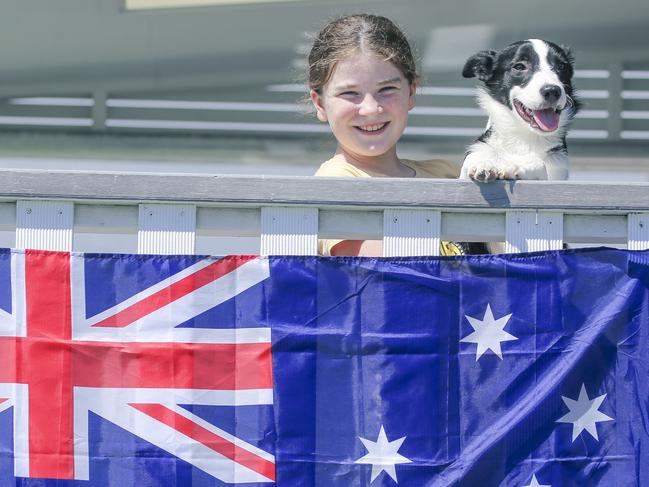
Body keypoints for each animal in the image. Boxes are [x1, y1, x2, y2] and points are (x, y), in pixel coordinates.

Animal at [458, 38, 580, 183]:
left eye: (561, 66)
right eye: (520, 67)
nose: (552, 91)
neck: (522, 137)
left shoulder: (557, 167)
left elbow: (539, 163)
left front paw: (514, 165)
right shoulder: (479, 149)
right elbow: (473, 158)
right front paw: (483, 163)